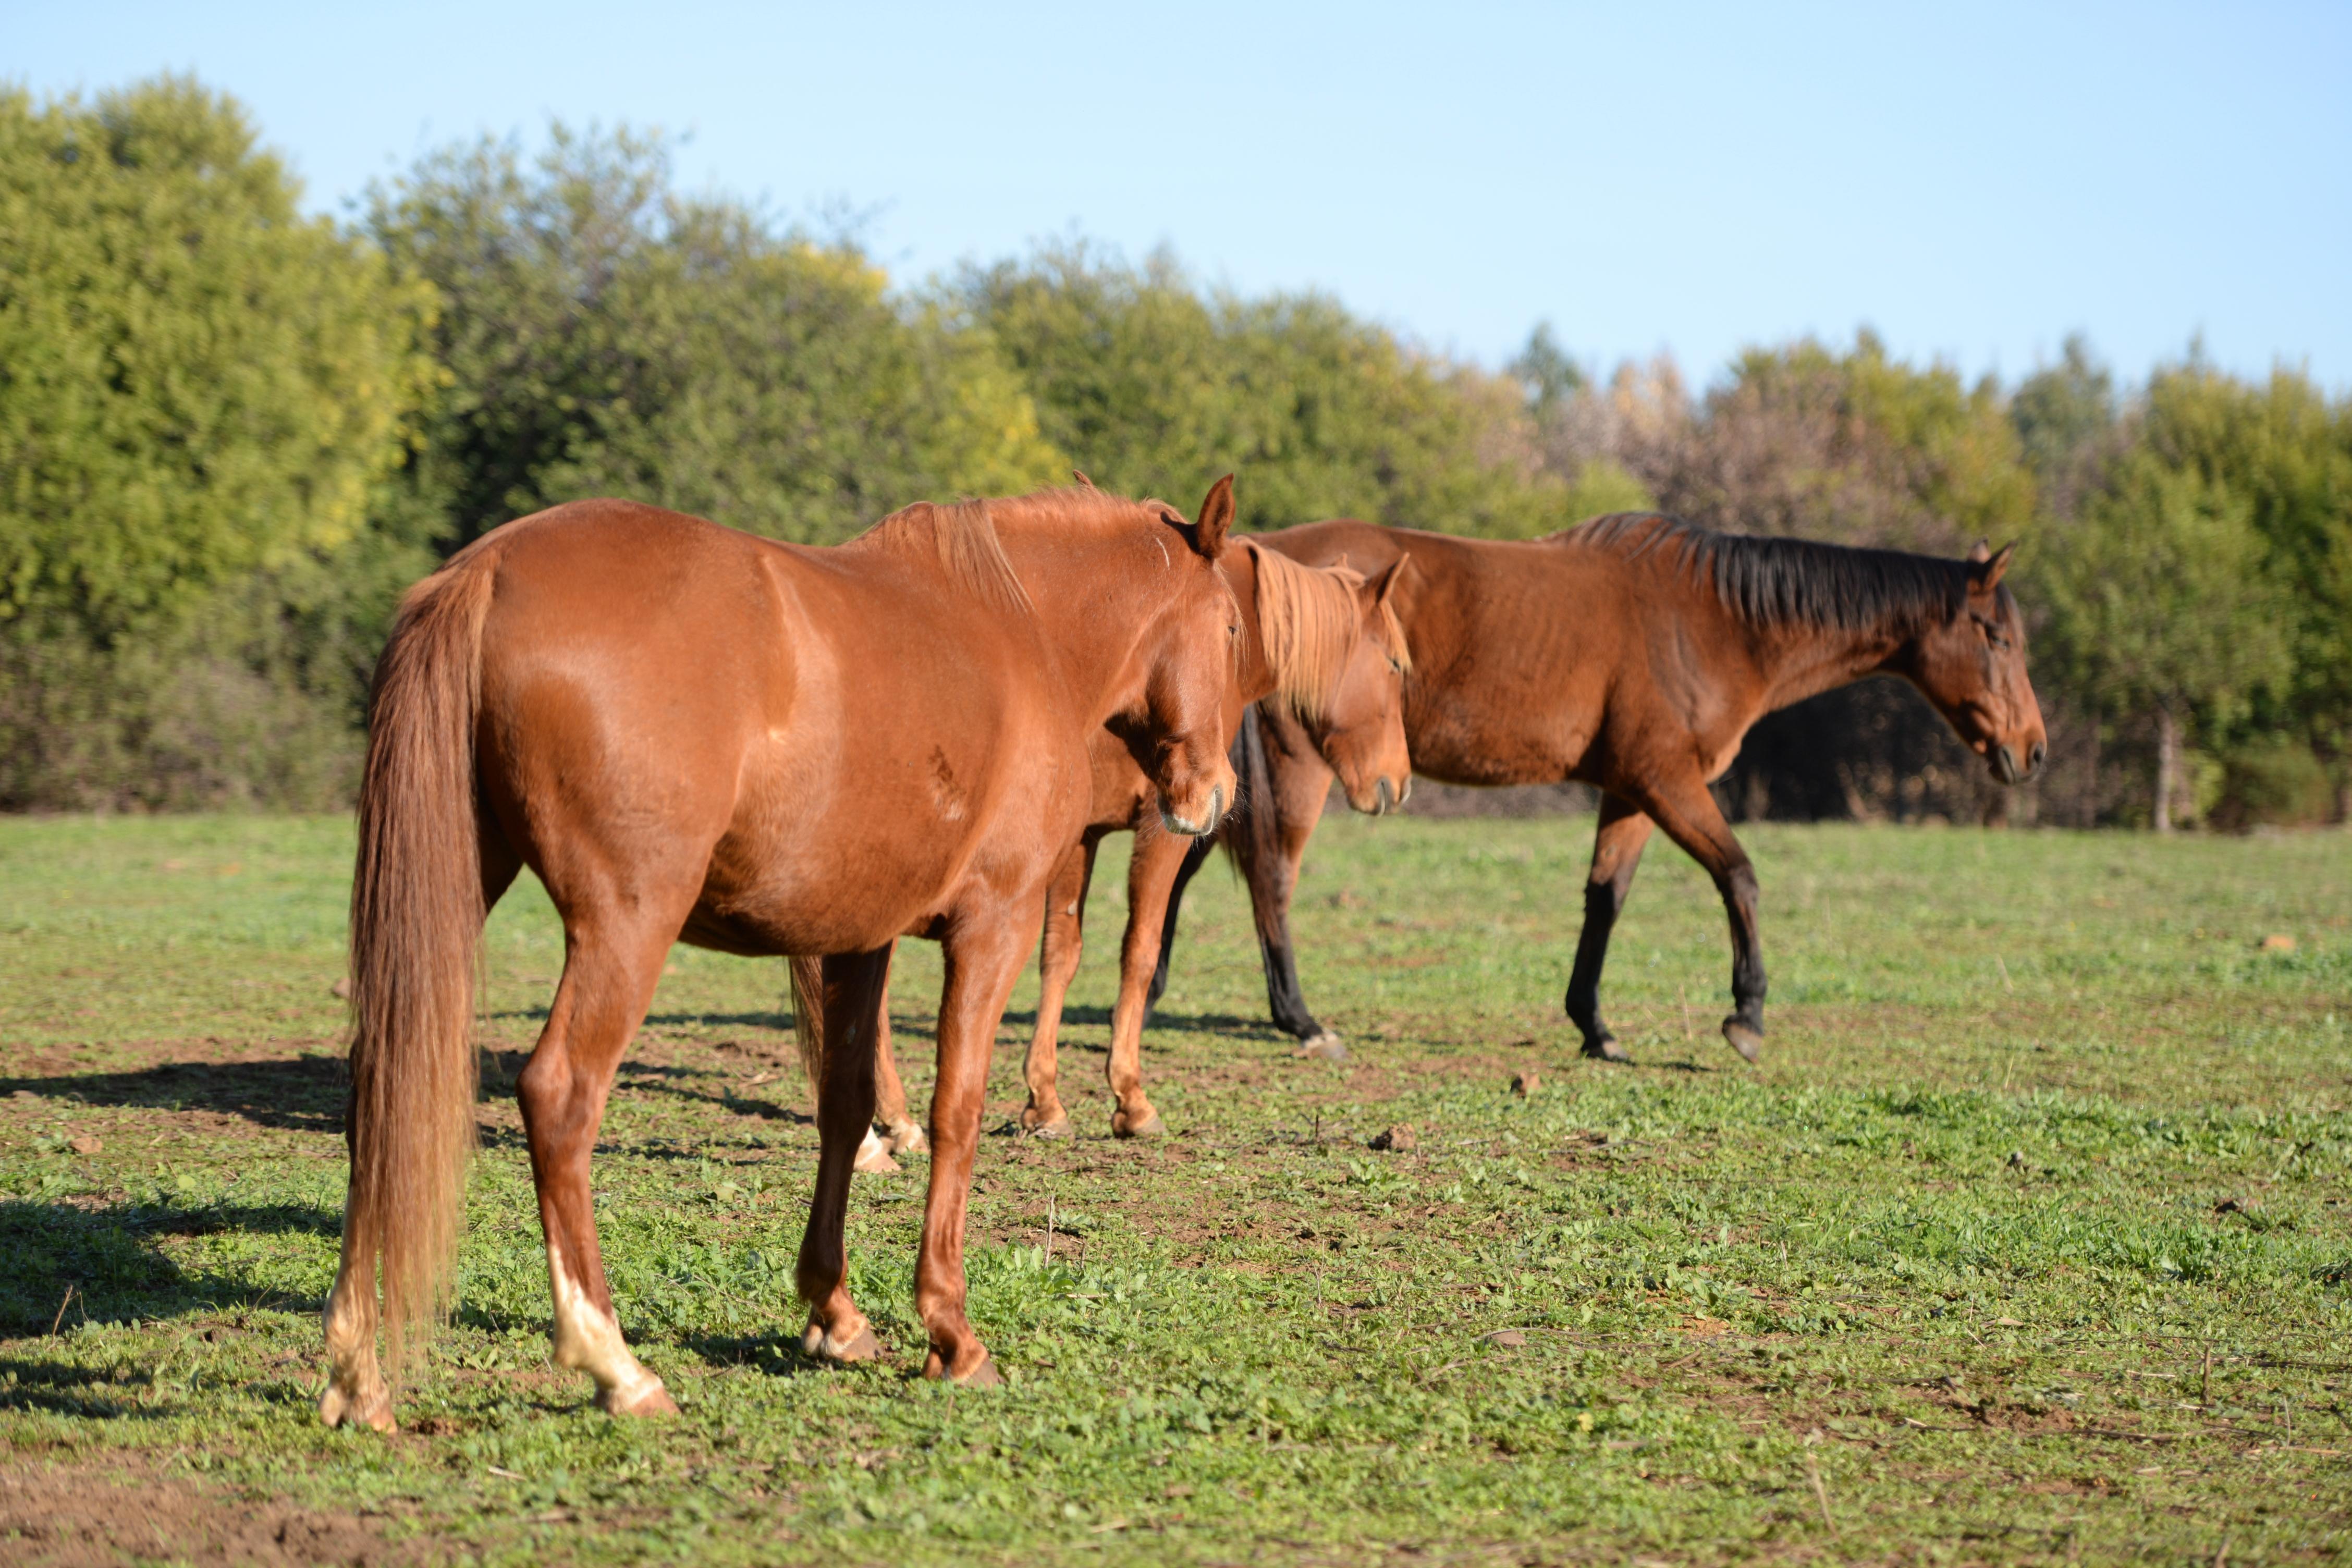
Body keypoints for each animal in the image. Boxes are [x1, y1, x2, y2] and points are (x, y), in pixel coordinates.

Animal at [332, 482, 1260, 1438]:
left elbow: (844, 1108)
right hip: (627, 926)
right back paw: (615, 1364)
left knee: (383, 1080)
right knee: (558, 1097)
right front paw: (952, 1333)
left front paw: (833, 1313)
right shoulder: (992, 926)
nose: (1216, 795)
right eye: (1230, 626)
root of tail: (488, 573)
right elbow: (957, 1112)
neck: (1016, 620)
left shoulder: (859, 941)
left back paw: (359, 1373)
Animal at [1152, 514, 2041, 1067]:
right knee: (1271, 880)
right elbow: (1740, 876)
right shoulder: (1669, 780)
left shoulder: (1631, 791)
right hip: (1301, 764)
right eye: (1997, 637)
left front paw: (1595, 1025)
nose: (2031, 751)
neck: (1713, 623)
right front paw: (1747, 1017)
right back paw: (1301, 1021)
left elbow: (1605, 899)